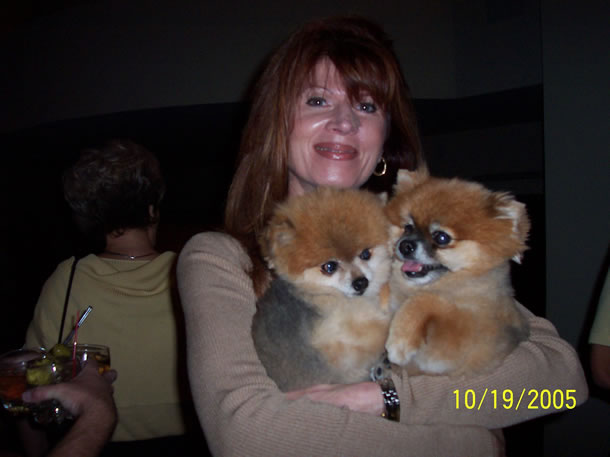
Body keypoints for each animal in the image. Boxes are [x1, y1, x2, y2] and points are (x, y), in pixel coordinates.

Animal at [384, 168, 530, 377]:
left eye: (441, 237)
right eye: (408, 227)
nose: (405, 245)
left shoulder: (462, 344)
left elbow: (427, 301)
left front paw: (400, 342)